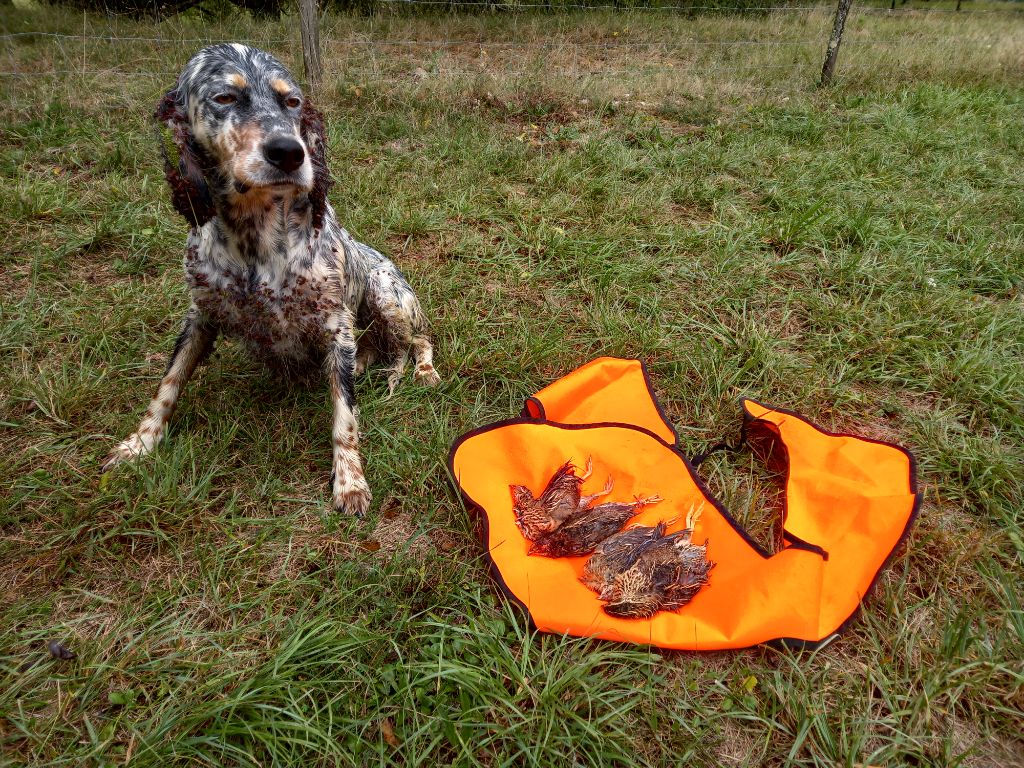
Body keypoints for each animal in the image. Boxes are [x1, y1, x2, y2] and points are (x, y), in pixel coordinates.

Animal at [103, 46, 440, 518]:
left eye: (293, 102)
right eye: (225, 97)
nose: (289, 152)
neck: (255, 239)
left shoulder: (335, 324)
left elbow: (345, 419)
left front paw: (349, 481)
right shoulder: (200, 316)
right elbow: (167, 385)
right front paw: (139, 443)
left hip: (385, 293)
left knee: (418, 342)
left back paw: (423, 370)